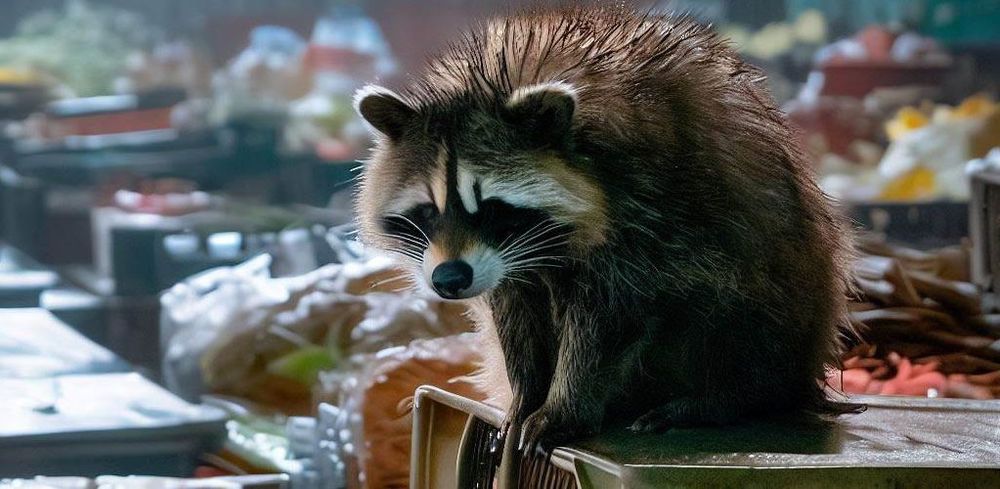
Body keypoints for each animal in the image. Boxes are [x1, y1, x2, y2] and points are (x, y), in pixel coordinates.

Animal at [354, 6, 856, 450]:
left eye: (493, 209)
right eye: (428, 211)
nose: (449, 279)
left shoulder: (648, 209)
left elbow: (611, 318)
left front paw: (564, 406)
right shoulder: (505, 264)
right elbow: (515, 312)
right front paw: (526, 393)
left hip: (767, 289)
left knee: (730, 310)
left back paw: (715, 399)